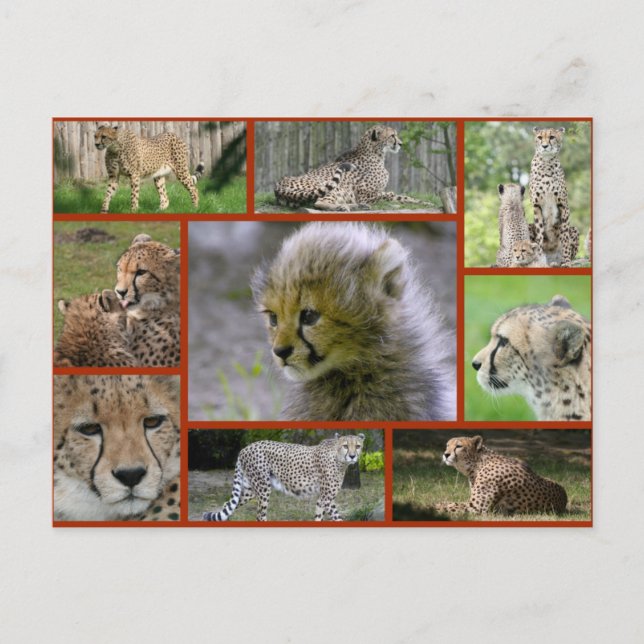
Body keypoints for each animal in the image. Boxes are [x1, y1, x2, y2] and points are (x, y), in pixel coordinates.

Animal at [202, 433, 365, 522]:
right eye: (345, 445)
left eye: (357, 446)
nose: (352, 456)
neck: (339, 459)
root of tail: (245, 448)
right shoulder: (326, 498)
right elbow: (332, 517)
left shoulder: (324, 499)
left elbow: (325, 517)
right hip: (263, 488)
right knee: (260, 515)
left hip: (249, 490)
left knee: (227, 505)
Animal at [274, 125, 434, 212]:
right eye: (392, 136)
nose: (401, 144)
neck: (377, 154)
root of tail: (278, 185)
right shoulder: (365, 194)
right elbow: (388, 195)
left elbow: (404, 197)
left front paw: (427, 203)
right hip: (336, 187)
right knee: (318, 202)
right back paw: (343, 207)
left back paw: (357, 206)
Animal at [436, 435, 567, 515]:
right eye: (447, 445)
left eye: (459, 446)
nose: (445, 454)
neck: (477, 464)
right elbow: (449, 503)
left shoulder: (477, 508)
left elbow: (448, 506)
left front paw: (434, 507)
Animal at [529, 127, 579, 266]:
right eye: (540, 137)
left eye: (552, 137)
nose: (545, 146)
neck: (546, 163)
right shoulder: (536, 206)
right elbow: (540, 235)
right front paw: (539, 259)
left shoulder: (563, 205)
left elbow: (565, 237)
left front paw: (566, 261)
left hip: (575, 229)